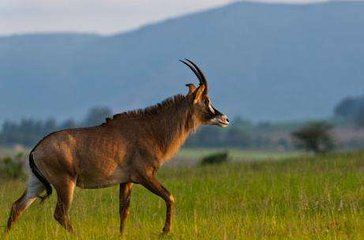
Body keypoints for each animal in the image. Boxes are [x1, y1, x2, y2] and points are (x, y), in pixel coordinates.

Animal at [5, 59, 229, 235]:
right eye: (206, 99)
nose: (225, 119)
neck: (153, 129)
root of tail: (35, 150)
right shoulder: (145, 176)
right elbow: (170, 197)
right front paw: (165, 231)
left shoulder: (127, 181)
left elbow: (124, 210)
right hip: (65, 183)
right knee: (60, 214)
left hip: (37, 183)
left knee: (17, 207)